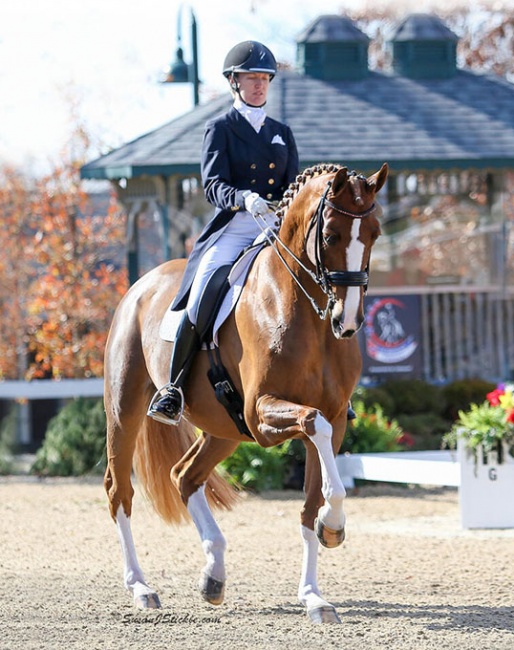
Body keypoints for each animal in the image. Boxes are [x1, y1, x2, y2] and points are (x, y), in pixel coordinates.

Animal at [102, 162, 386, 624]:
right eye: (330, 235)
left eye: (375, 233)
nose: (348, 322)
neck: (306, 315)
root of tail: (142, 284)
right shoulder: (263, 414)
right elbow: (313, 425)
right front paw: (334, 527)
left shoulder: (334, 415)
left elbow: (311, 499)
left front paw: (315, 589)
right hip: (125, 412)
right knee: (120, 492)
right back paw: (141, 588)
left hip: (225, 430)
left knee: (184, 476)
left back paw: (213, 575)